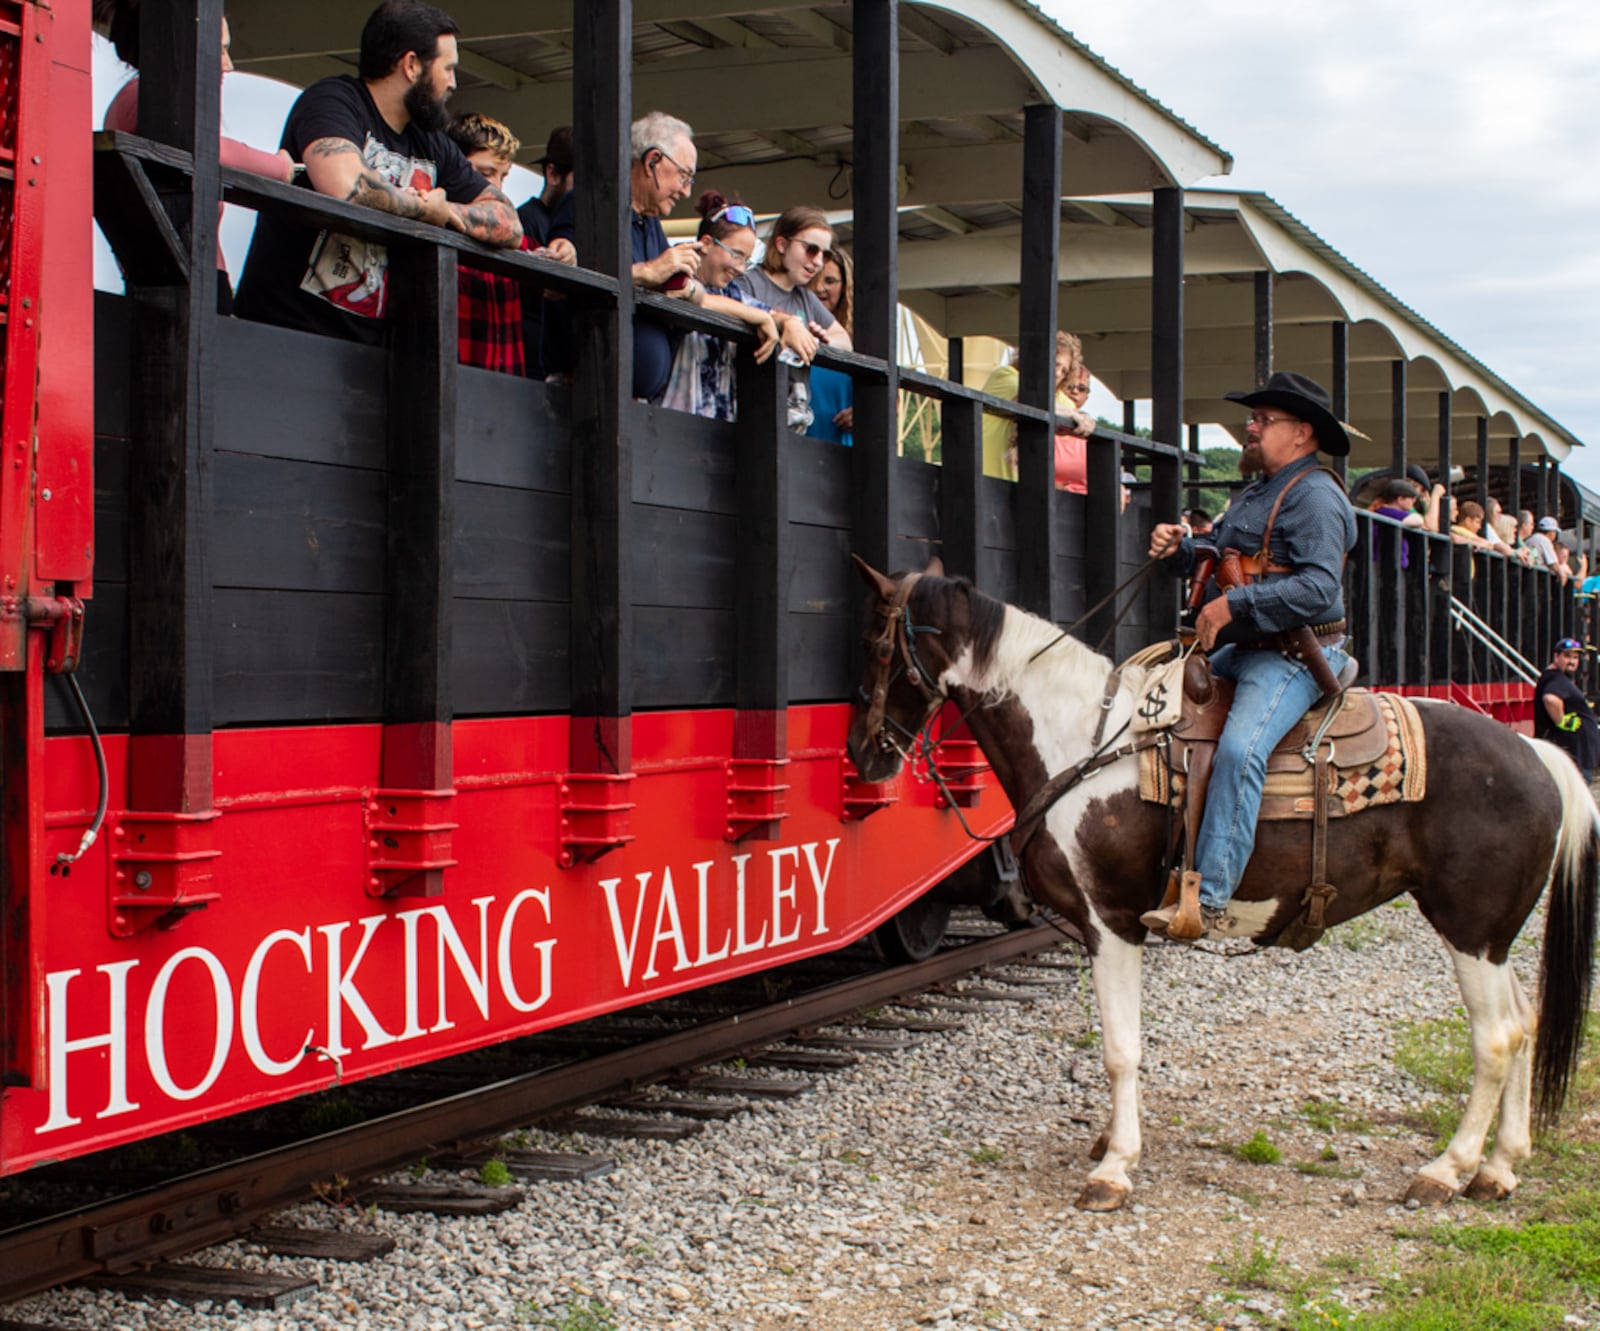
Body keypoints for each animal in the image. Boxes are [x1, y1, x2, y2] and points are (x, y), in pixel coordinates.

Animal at [844, 556, 1593, 1209]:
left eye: (877, 646)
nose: (863, 754)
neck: (1083, 740)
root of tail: (1535, 752)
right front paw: (1110, 1142)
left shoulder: (1112, 923)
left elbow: (1120, 1049)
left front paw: (1115, 1168)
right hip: (1492, 935)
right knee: (1524, 1022)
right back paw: (1500, 1166)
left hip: (1468, 924)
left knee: (1496, 1036)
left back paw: (1447, 1169)